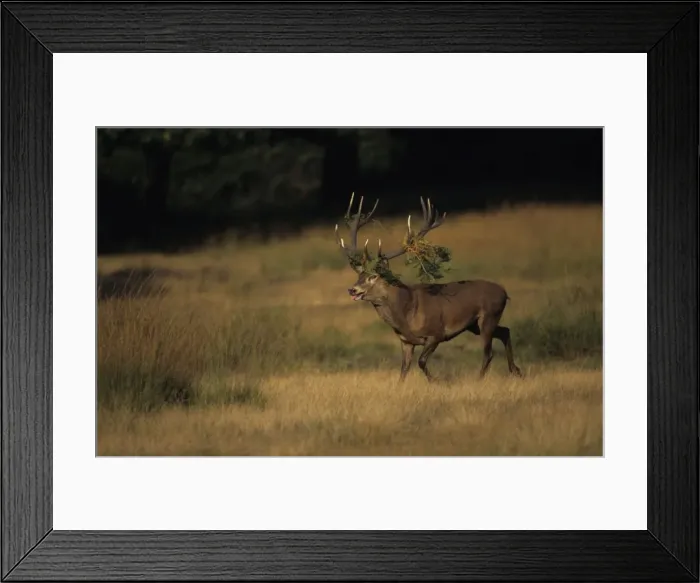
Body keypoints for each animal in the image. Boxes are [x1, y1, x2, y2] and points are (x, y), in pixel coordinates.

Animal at [335, 193, 523, 383]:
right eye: (359, 275)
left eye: (373, 276)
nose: (352, 290)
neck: (406, 315)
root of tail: (504, 293)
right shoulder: (406, 341)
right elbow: (403, 370)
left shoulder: (436, 333)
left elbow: (421, 362)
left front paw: (437, 382)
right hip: (474, 324)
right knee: (505, 331)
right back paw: (516, 370)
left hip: (489, 315)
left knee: (488, 353)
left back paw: (480, 379)